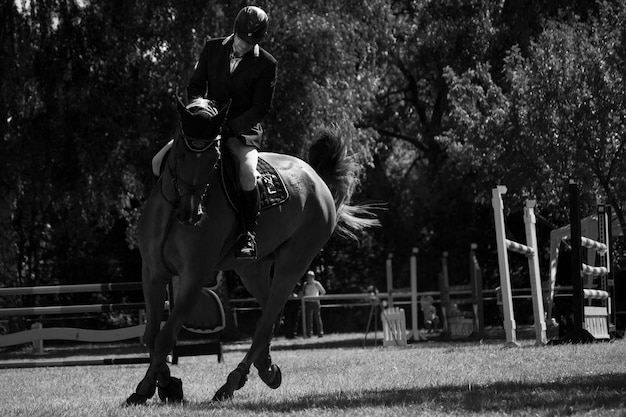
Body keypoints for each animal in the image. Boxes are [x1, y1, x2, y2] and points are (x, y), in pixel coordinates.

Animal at [124, 96, 372, 404]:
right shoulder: (152, 272)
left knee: (266, 321)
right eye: (180, 153)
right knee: (271, 317)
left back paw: (232, 383)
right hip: (253, 268)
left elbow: (165, 336)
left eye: (213, 158)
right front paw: (165, 382)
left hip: (294, 262)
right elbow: (150, 336)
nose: (191, 214)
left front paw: (149, 387)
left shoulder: (194, 276)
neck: (173, 212)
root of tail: (316, 177)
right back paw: (266, 369)